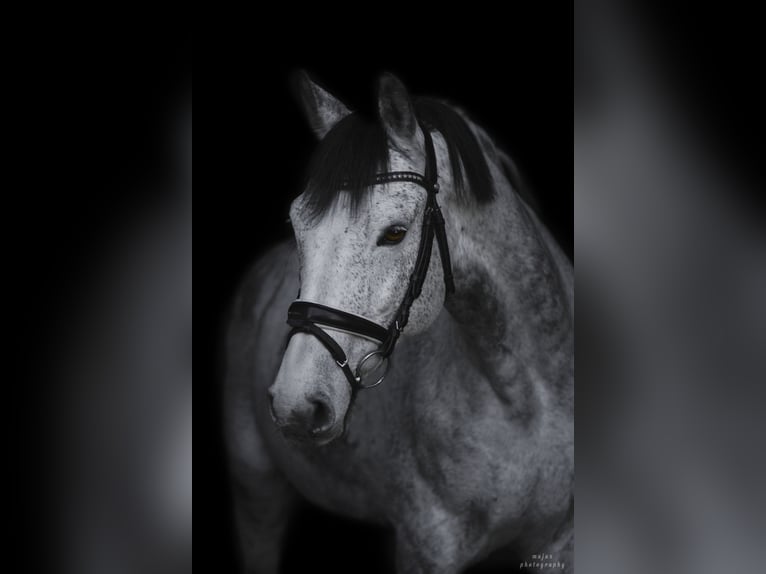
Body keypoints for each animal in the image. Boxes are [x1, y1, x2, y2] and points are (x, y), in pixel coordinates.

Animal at [224, 72, 573, 574]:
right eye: (297, 226)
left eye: (395, 233)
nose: (296, 404)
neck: (526, 406)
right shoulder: (425, 550)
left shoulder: (557, 544)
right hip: (257, 492)